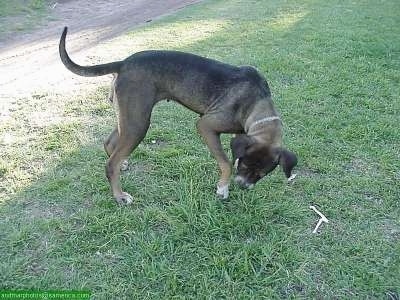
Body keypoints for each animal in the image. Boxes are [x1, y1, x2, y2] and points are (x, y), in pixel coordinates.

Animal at [59, 26, 296, 204]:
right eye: (245, 166)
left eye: (261, 175)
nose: (243, 186)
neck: (257, 102)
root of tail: (123, 63)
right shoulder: (206, 126)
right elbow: (226, 162)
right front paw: (223, 188)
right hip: (138, 122)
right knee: (110, 163)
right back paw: (120, 196)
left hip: (129, 117)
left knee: (110, 144)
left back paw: (122, 164)